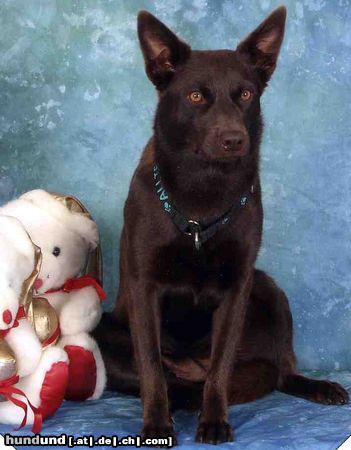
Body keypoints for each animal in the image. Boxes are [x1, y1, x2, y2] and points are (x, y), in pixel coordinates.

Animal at [95, 7, 350, 446]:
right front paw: (157, 425)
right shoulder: (144, 287)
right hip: (104, 332)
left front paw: (214, 421)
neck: (204, 189)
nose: (234, 139)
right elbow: (151, 368)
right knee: (171, 381)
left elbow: (221, 368)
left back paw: (316, 385)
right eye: (196, 96)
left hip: (270, 288)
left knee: (278, 370)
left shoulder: (238, 285)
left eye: (245, 95)